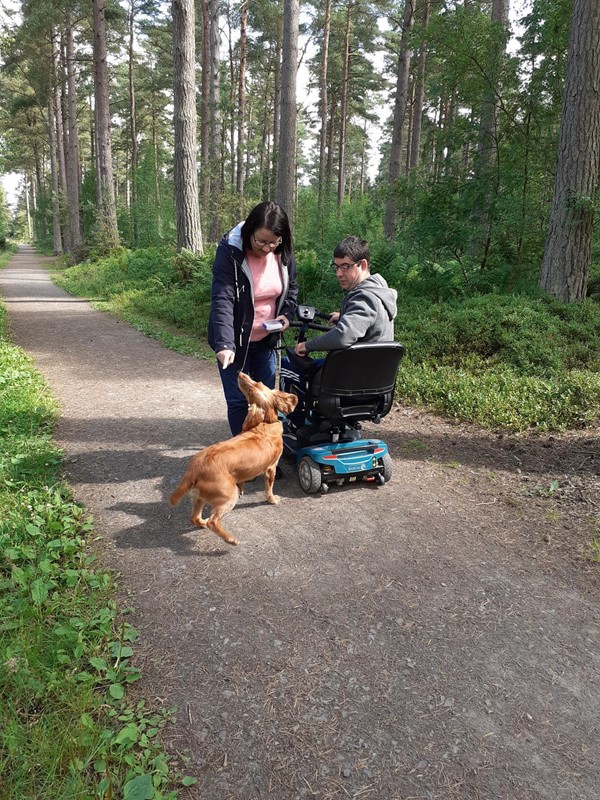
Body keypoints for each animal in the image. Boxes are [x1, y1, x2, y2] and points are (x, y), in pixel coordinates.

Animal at [169, 372, 298, 548]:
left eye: (256, 383)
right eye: (251, 389)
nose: (240, 373)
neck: (265, 424)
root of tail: (194, 469)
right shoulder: (271, 468)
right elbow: (269, 488)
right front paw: (272, 499)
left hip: (199, 497)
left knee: (195, 518)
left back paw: (203, 523)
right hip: (228, 496)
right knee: (214, 521)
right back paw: (230, 539)